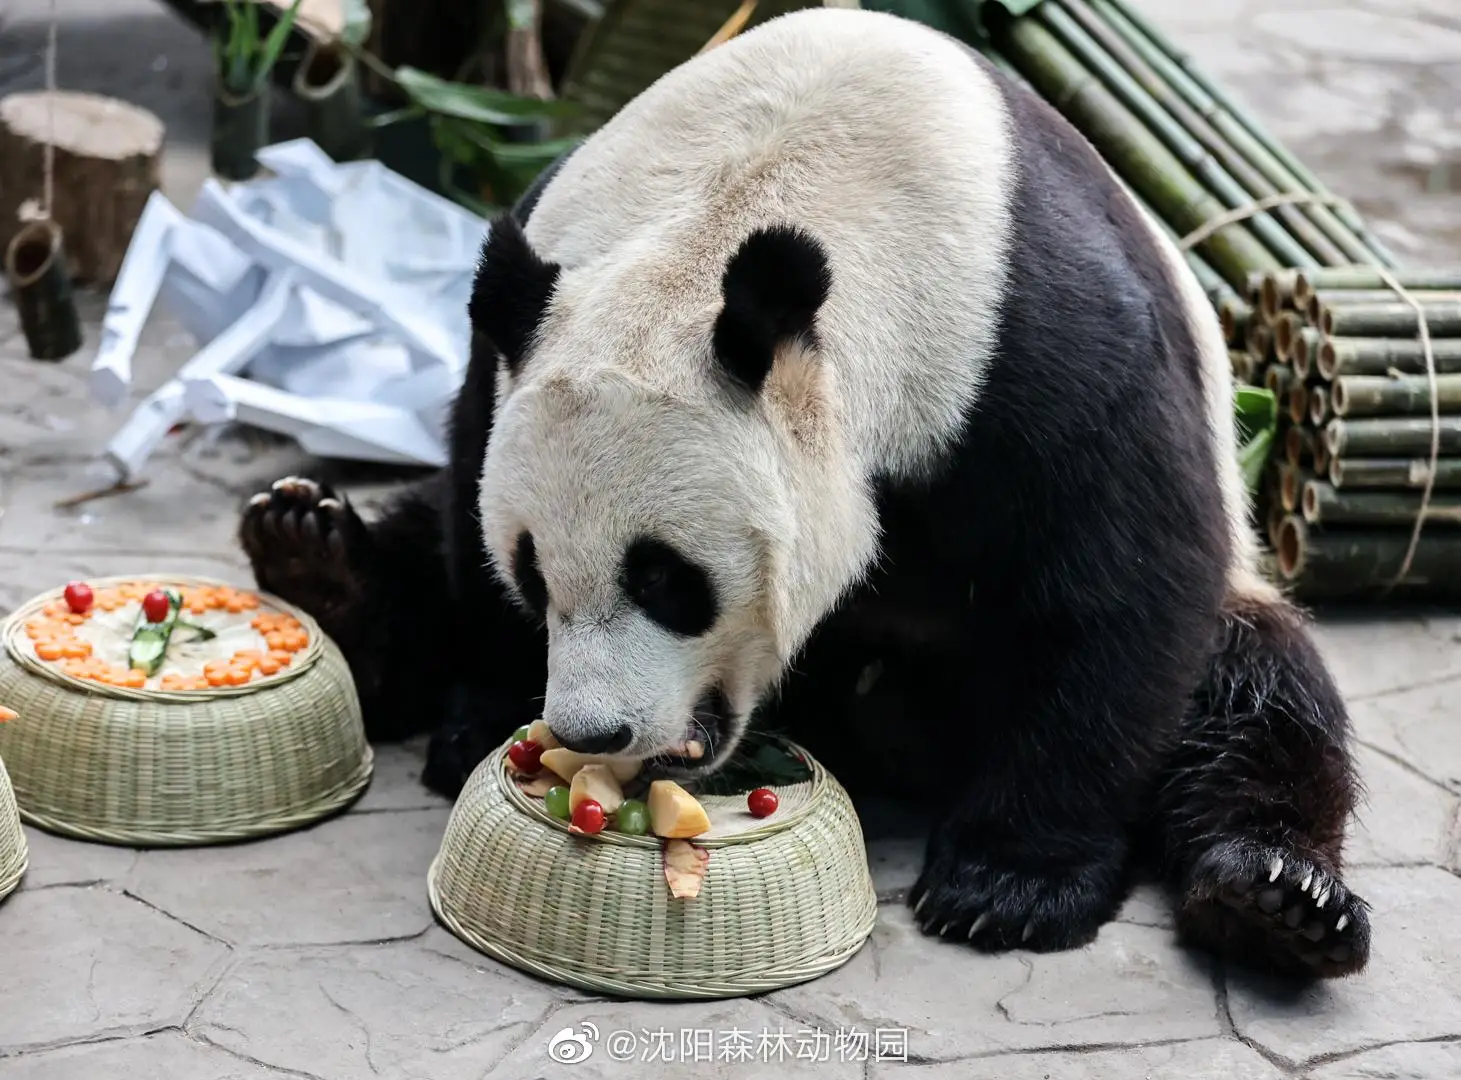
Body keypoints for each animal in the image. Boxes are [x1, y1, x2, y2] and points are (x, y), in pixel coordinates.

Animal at [239, 4, 1367, 976]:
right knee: (417, 526)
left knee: (1257, 696)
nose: (595, 733)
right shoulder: (523, 322)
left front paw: (1007, 887)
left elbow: (1115, 593)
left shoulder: (1039, 339)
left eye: (665, 579)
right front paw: (480, 722)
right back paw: (315, 553)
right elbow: (467, 504)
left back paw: (1276, 899)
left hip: (1240, 605)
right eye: (535, 573)